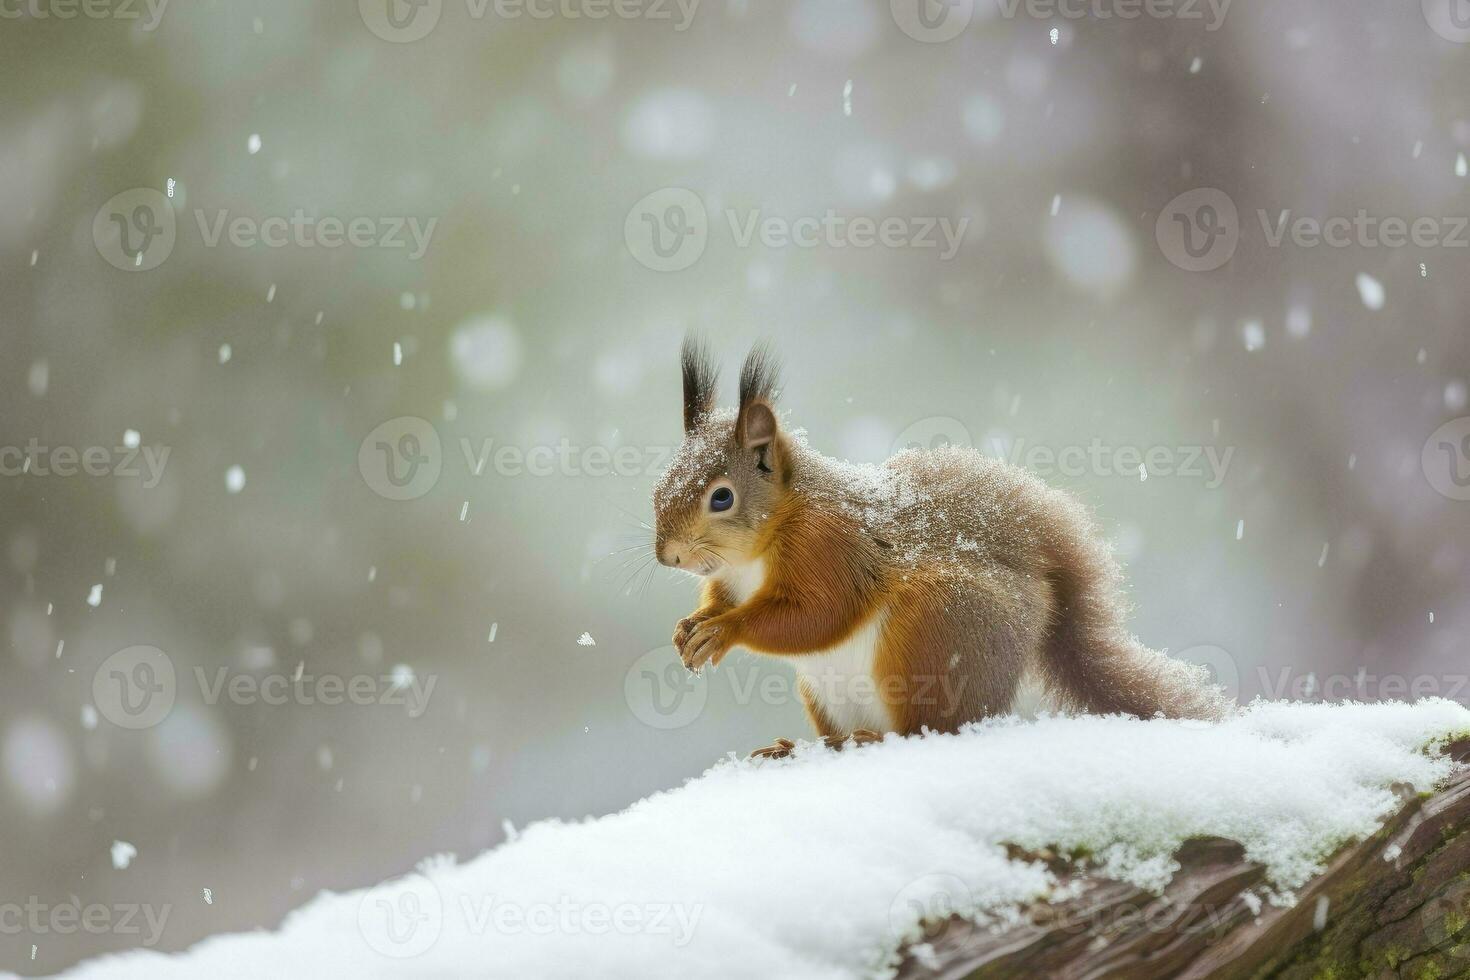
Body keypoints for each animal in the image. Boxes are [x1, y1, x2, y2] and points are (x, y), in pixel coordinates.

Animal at [655, 339, 1228, 758]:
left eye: (722, 497)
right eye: (662, 482)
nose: (669, 557)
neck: (759, 548)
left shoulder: (833, 548)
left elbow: (819, 613)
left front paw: (725, 631)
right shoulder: (732, 577)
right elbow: (722, 601)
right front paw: (689, 628)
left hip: (932, 630)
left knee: (932, 726)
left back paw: (875, 738)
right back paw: (798, 746)